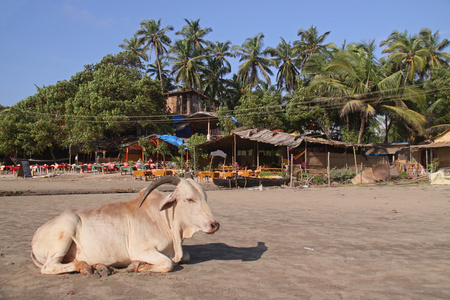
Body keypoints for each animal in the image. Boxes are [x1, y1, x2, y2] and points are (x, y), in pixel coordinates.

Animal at [29, 176, 220, 274]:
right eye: (189, 199)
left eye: (205, 197)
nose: (214, 225)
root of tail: (36, 235)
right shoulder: (141, 250)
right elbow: (168, 264)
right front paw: (138, 266)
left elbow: (185, 256)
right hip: (67, 227)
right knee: (49, 267)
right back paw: (84, 267)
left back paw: (99, 267)